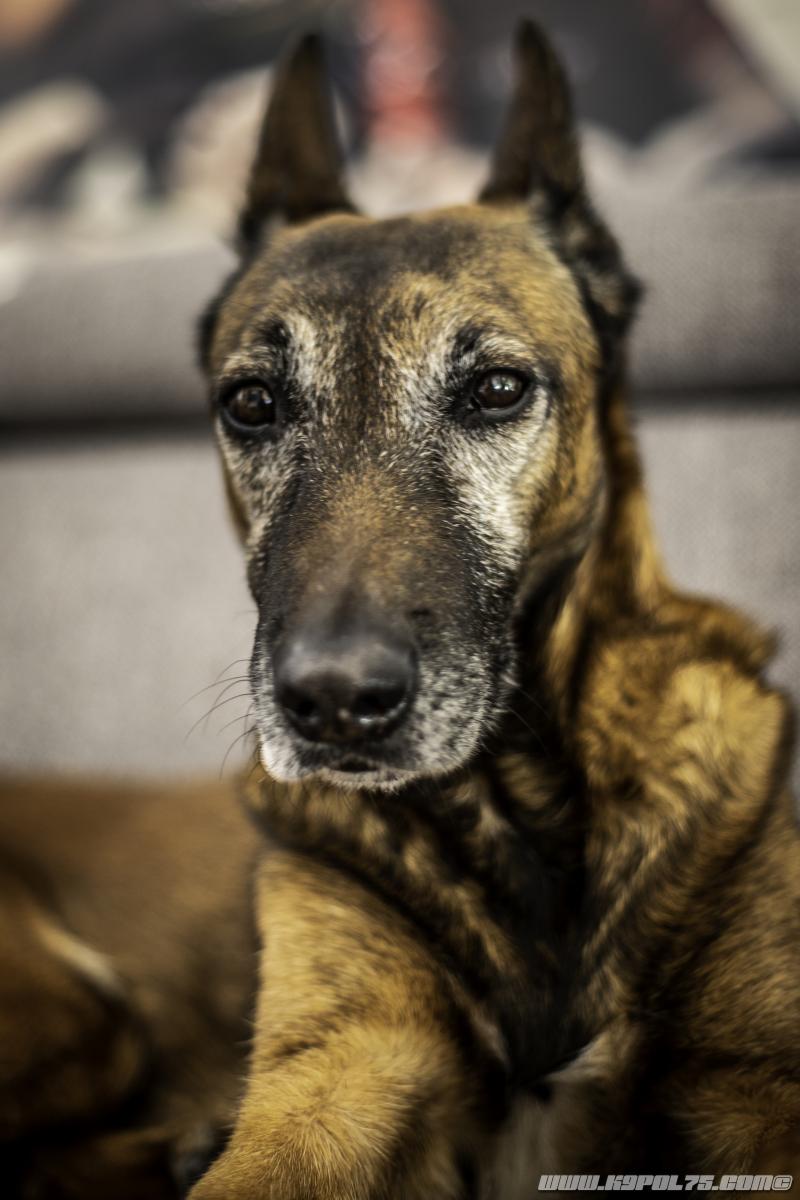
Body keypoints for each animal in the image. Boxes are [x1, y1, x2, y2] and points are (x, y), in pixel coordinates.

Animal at [1, 16, 798, 1199]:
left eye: (496, 390)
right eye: (252, 404)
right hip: (80, 1017)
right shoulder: (340, 1079)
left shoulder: (757, 1086)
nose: (333, 705)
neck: (520, 815)